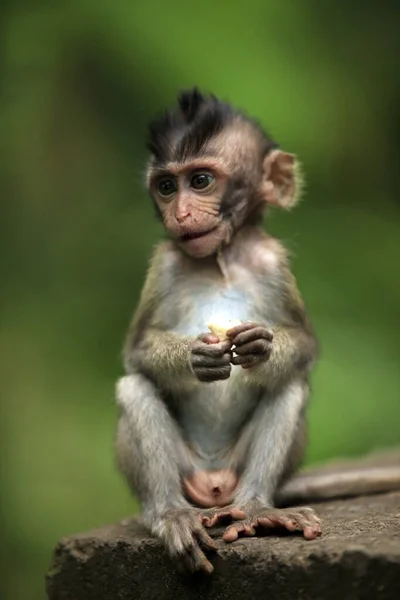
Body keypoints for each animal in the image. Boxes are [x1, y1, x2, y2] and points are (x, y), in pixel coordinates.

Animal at [115, 90, 396, 576]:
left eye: (201, 180)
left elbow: (303, 346)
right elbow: (137, 351)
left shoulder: (273, 261)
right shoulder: (163, 263)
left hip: (240, 468)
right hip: (187, 472)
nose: (180, 213)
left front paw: (262, 347)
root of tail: (214, 486)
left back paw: (257, 509)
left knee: (290, 385)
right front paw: (194, 356)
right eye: (166, 186)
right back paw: (170, 514)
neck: (221, 260)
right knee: (135, 387)